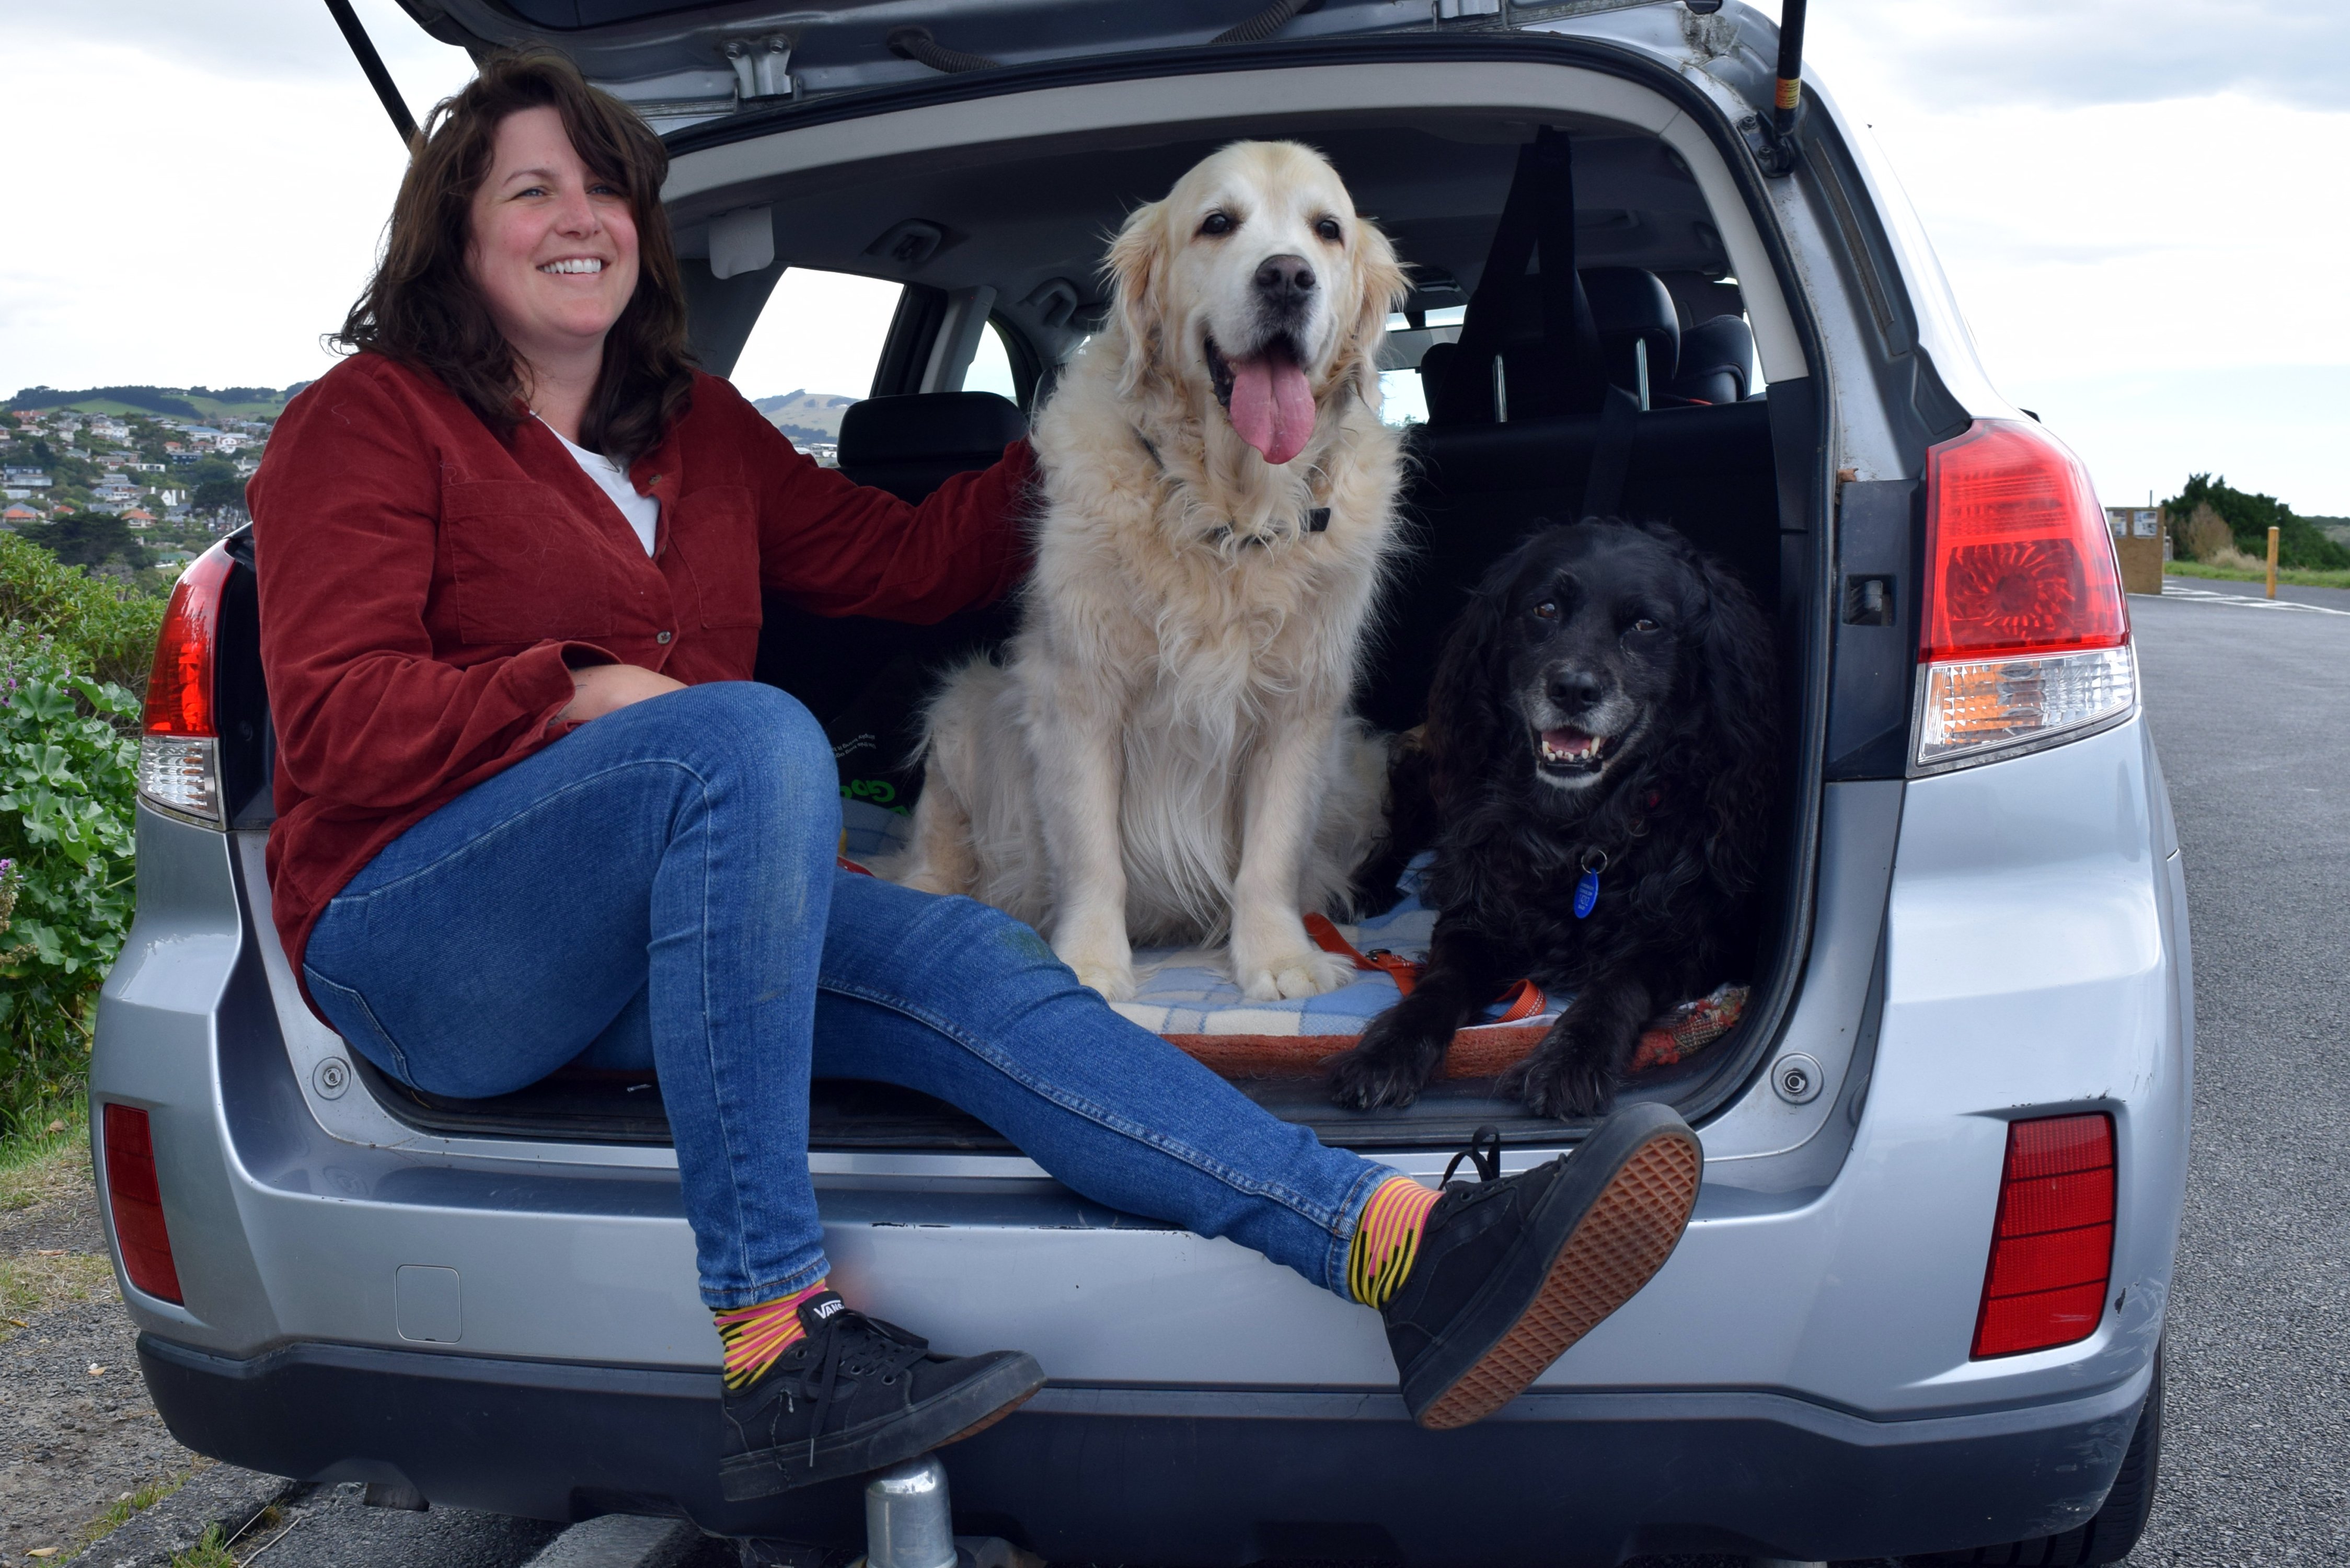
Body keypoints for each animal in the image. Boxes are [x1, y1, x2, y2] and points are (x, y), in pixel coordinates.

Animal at [1334, 522, 1767, 1123]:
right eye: (1544, 609)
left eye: (1645, 624)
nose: (1573, 690)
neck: (1579, 832)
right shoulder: (1480, 916)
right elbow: (1441, 982)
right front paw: (1388, 1049)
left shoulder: (1699, 936)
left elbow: (1619, 983)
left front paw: (1571, 1061)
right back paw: (1368, 886)